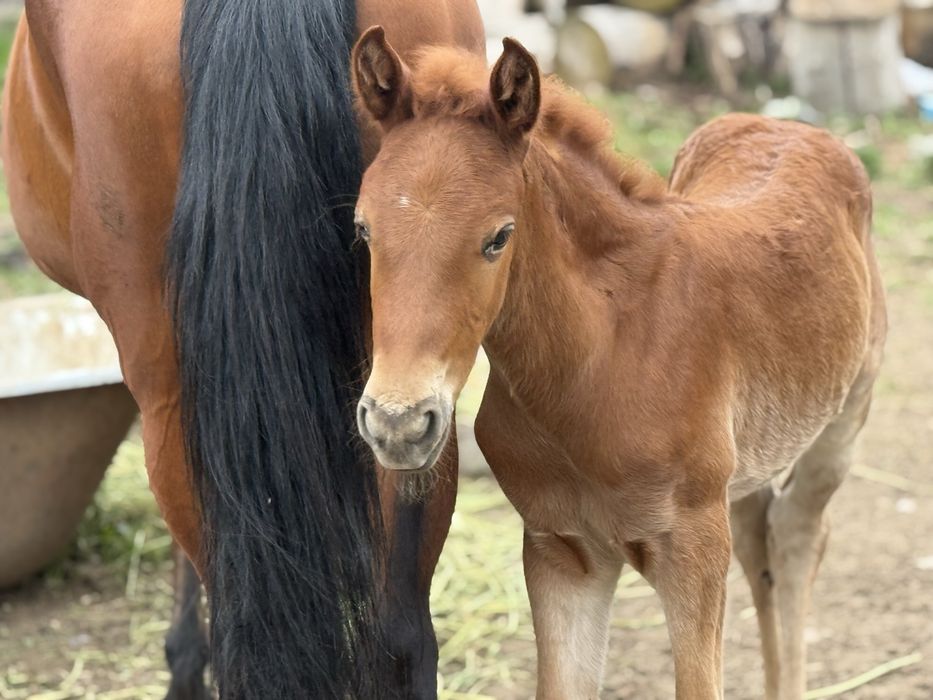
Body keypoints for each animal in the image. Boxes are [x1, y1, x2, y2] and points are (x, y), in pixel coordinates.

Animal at [351, 32, 887, 700]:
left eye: (499, 236)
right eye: (364, 229)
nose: (398, 423)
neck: (601, 359)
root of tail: (793, 125)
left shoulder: (692, 551)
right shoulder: (561, 552)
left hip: (842, 421)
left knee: (797, 537)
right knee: (761, 533)